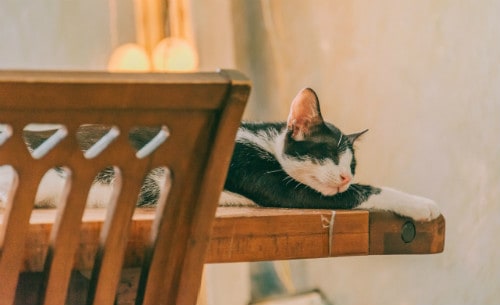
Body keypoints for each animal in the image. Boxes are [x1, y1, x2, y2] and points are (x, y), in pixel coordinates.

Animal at [0, 86, 438, 220]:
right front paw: (424, 204)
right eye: (332, 155)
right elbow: (367, 192)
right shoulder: (270, 181)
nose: (345, 175)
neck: (264, 143)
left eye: (352, 163)